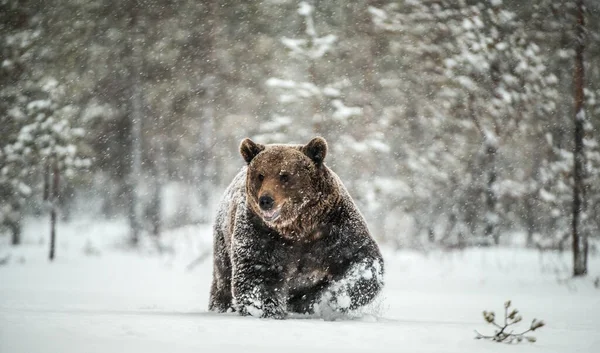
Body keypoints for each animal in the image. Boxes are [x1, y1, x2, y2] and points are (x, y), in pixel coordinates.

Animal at [209, 136, 382, 318]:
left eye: (284, 175)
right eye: (261, 175)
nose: (266, 200)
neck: (298, 227)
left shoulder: (334, 228)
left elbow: (361, 260)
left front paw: (325, 298)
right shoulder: (260, 232)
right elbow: (257, 273)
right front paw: (267, 311)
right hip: (223, 241)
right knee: (223, 280)